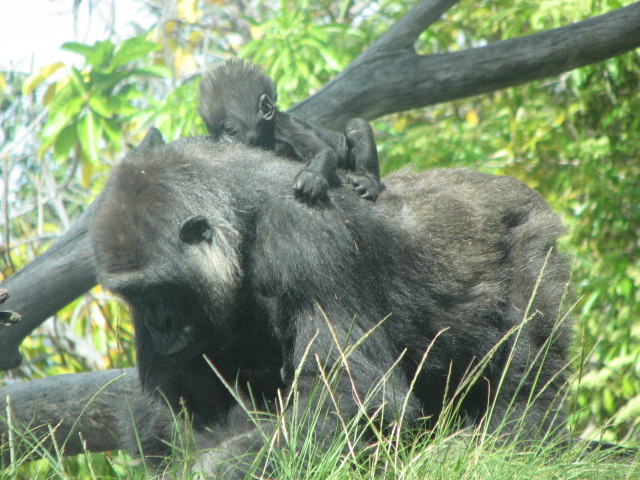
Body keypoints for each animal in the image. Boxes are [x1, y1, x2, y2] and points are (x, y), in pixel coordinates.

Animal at [197, 58, 384, 203]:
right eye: (215, 134)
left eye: (230, 130)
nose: (224, 142)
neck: (267, 131)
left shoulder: (286, 125)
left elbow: (321, 151)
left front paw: (311, 178)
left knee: (356, 127)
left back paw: (369, 181)